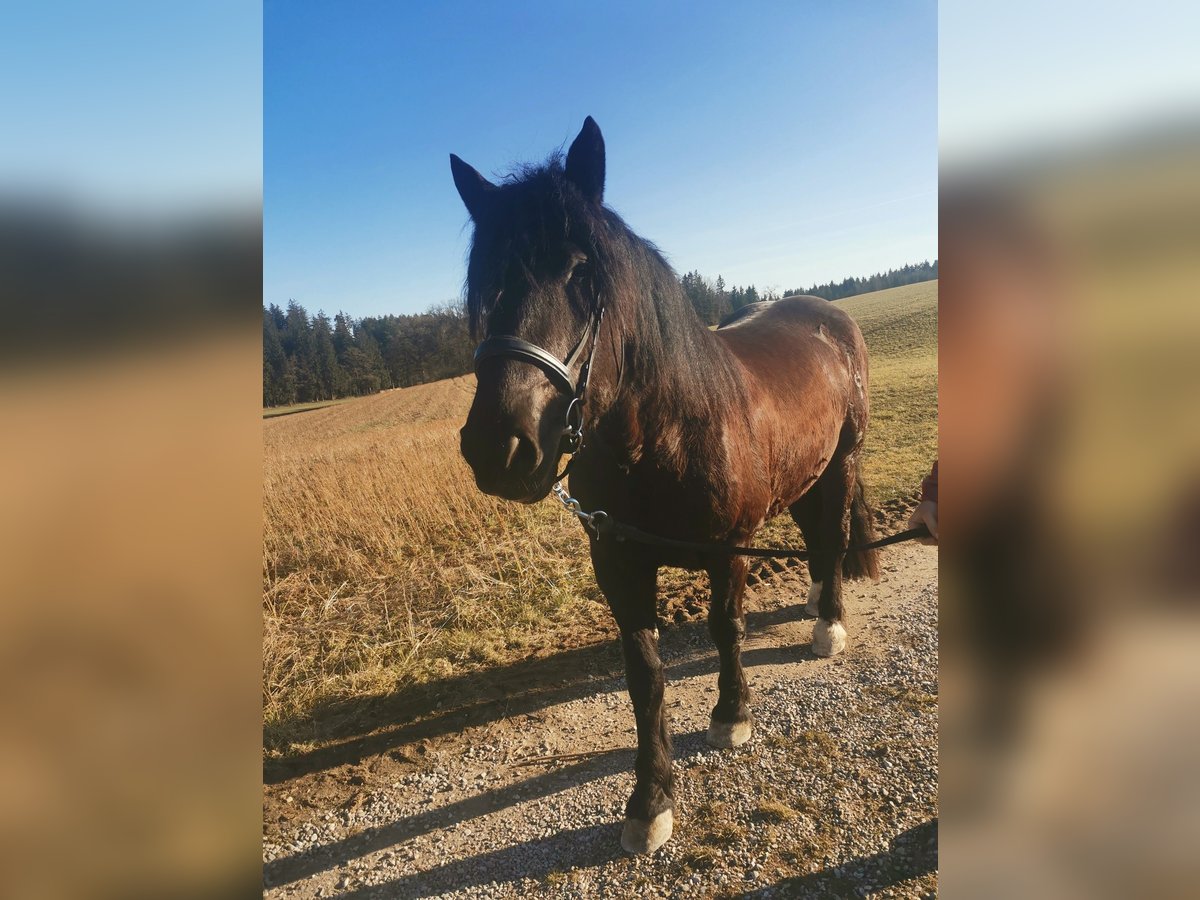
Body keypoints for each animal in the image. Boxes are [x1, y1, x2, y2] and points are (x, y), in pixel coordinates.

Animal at [452, 117, 880, 854]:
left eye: (581, 271)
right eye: (486, 283)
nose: (499, 448)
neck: (662, 436)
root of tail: (830, 318)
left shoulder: (729, 548)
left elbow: (725, 628)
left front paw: (731, 715)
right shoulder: (618, 561)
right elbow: (644, 675)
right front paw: (651, 799)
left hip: (841, 462)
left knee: (831, 531)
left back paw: (828, 623)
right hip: (804, 472)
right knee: (815, 534)